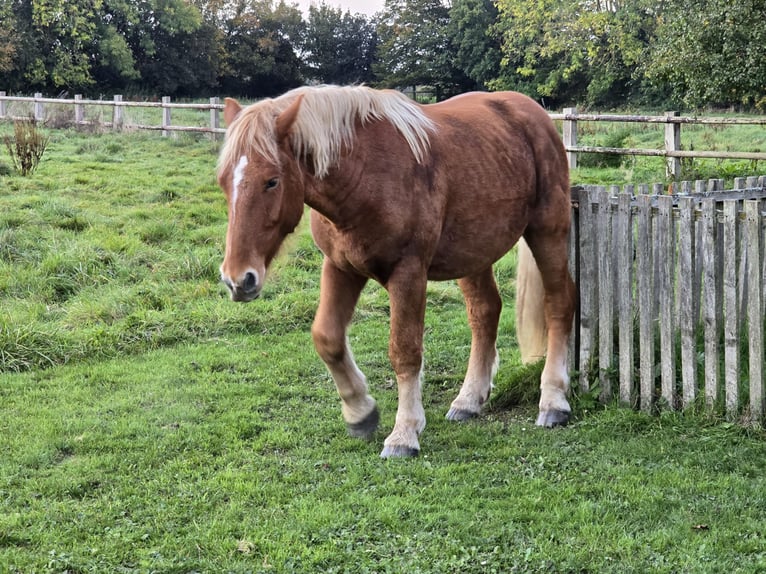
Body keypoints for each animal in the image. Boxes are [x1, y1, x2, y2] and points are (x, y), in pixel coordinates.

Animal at [216, 85, 576, 462]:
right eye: (223, 182)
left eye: (271, 181)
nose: (238, 279)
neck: (366, 175)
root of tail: (532, 112)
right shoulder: (339, 267)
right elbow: (327, 338)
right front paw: (361, 412)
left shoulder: (408, 273)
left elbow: (405, 351)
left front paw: (404, 433)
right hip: (474, 253)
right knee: (485, 313)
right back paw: (468, 400)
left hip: (547, 231)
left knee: (559, 304)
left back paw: (553, 400)